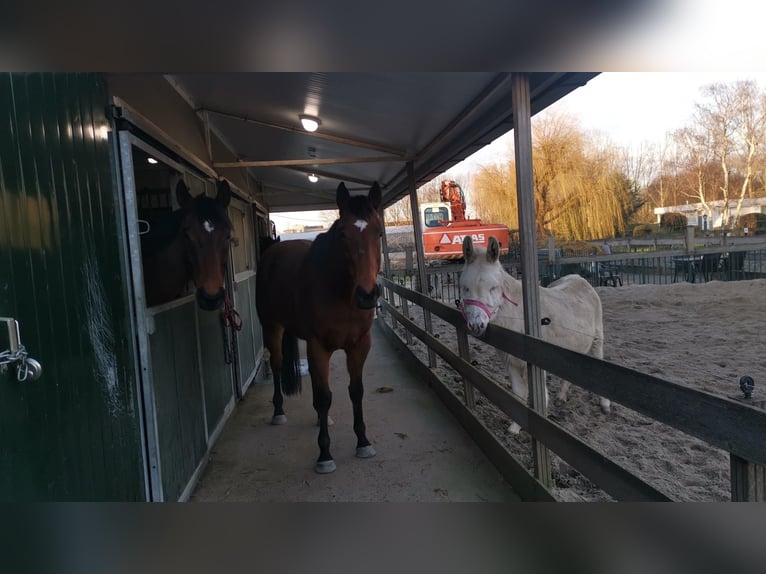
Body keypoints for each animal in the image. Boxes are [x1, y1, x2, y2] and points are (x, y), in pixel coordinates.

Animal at [258, 182, 384, 474]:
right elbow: (325, 397)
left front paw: (363, 442)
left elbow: (355, 391)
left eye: (379, 232)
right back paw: (278, 412)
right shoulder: (318, 348)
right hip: (272, 327)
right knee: (278, 365)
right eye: (343, 235)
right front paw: (324, 454)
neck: (341, 292)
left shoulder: (359, 345)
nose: (367, 296)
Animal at [460, 236, 608, 434]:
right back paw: (562, 396)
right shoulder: (510, 360)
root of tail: (579, 278)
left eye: (493, 288)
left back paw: (605, 405)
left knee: (599, 362)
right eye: (465, 288)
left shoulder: (536, 360)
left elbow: (540, 398)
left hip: (597, 337)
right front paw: (514, 428)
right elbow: (518, 394)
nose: (476, 325)